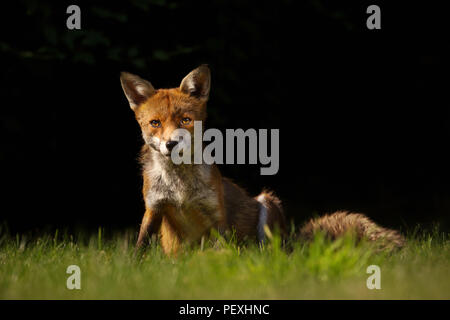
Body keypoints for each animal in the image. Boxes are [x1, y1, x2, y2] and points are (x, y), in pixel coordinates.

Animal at [119, 65, 404, 255]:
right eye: (155, 123)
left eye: (185, 120)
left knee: (267, 254)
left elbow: (221, 251)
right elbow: (139, 248)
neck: (180, 190)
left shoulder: (216, 214)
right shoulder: (154, 208)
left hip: (267, 203)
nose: (171, 144)